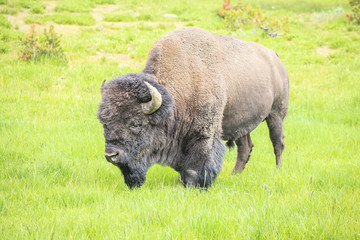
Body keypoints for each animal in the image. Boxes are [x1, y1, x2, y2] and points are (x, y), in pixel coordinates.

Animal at [97, 27, 288, 188]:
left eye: (136, 124)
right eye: (105, 123)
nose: (111, 155)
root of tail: (275, 57)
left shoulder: (204, 134)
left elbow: (196, 163)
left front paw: (192, 185)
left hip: (276, 115)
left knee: (277, 142)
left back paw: (278, 170)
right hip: (242, 123)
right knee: (245, 147)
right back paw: (235, 175)